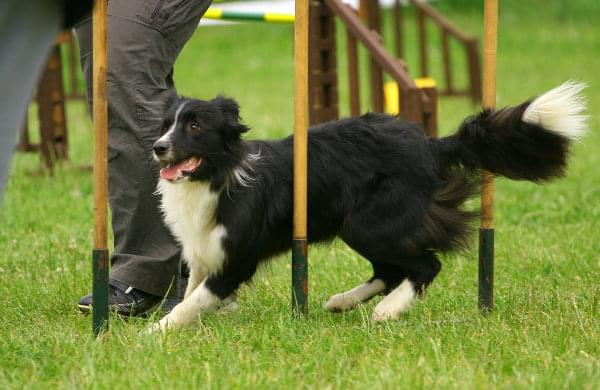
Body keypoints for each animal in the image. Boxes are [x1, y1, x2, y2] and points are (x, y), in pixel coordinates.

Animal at [150, 83, 584, 332]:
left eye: (194, 127)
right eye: (165, 125)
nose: (158, 148)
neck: (216, 174)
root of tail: (431, 145)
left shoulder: (238, 258)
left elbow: (197, 299)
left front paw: (156, 333)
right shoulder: (203, 248)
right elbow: (192, 291)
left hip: (369, 222)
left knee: (425, 265)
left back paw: (388, 311)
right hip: (362, 224)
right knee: (390, 270)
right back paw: (343, 301)